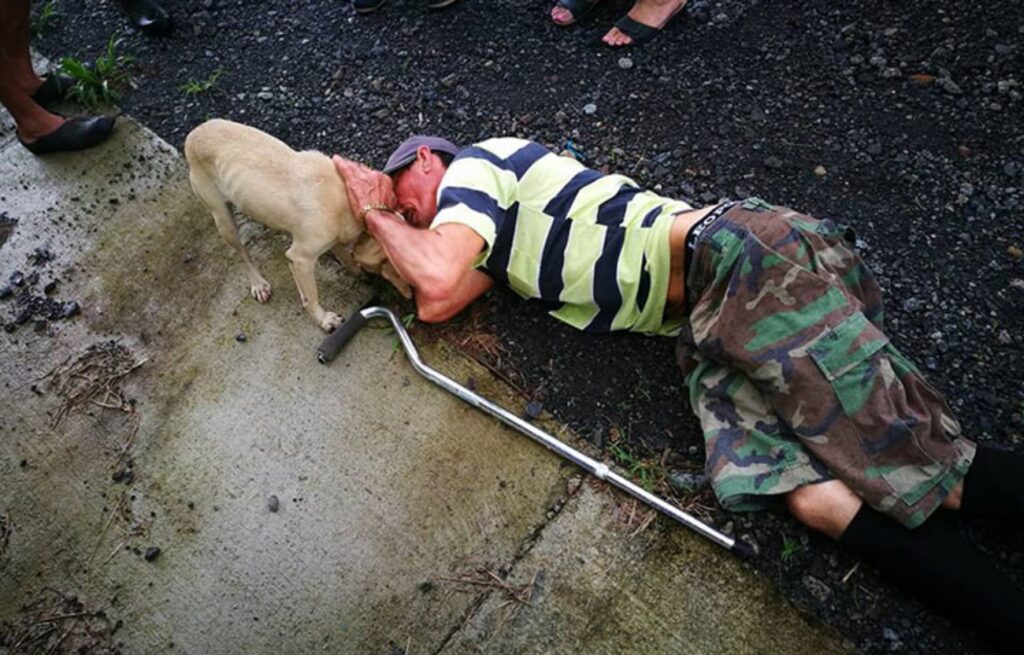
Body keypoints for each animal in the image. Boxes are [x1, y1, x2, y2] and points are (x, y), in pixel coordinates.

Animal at [182, 117, 409, 329]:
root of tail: (192, 134)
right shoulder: (300, 258)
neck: (348, 200)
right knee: (242, 253)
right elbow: (311, 296)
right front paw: (323, 319)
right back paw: (258, 284)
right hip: (223, 219)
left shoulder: (332, 240)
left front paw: (357, 273)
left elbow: (345, 258)